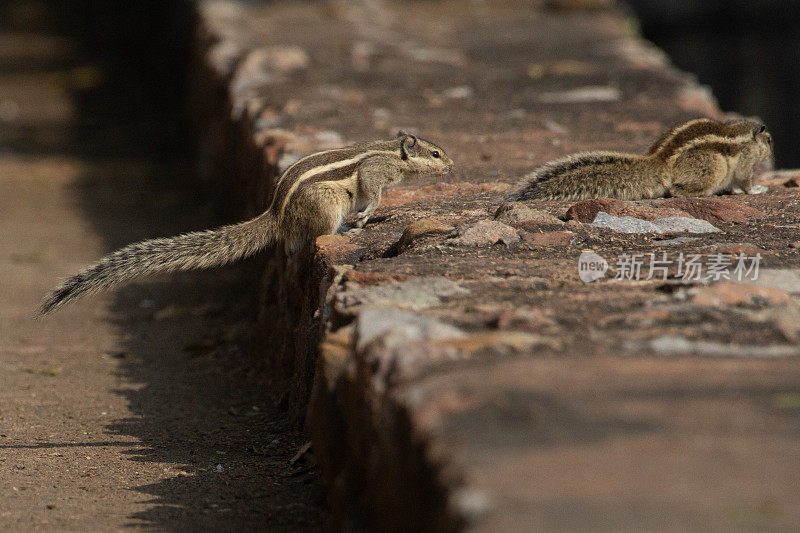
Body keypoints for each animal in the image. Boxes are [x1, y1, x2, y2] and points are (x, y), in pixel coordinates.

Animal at [37, 133, 454, 314]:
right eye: (435, 153)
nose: (452, 166)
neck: (391, 153)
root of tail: (276, 215)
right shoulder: (373, 174)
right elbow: (372, 190)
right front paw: (370, 213)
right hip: (326, 207)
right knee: (312, 236)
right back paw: (342, 229)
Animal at [512, 118, 776, 202]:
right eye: (770, 140)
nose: (772, 153)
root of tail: (658, 162)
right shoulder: (745, 162)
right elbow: (745, 180)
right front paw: (756, 190)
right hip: (714, 165)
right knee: (676, 191)